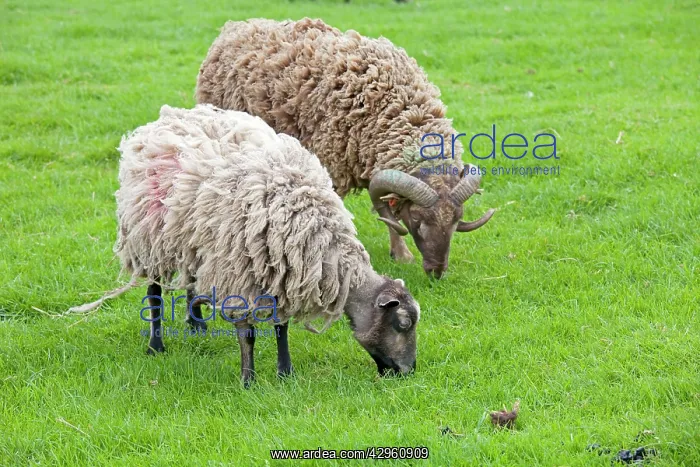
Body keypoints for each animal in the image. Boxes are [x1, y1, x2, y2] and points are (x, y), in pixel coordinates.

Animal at [115, 104, 419, 386]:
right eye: (402, 324)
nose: (408, 372)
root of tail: (168, 117)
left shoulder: (284, 268)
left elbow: (281, 326)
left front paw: (285, 373)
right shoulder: (240, 275)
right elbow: (247, 334)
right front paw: (248, 380)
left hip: (193, 239)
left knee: (191, 277)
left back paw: (196, 325)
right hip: (147, 237)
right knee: (153, 292)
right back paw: (156, 345)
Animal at [195, 18, 495, 279]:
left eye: (456, 221)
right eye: (418, 221)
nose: (436, 272)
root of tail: (235, 27)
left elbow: (386, 212)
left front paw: (400, 254)